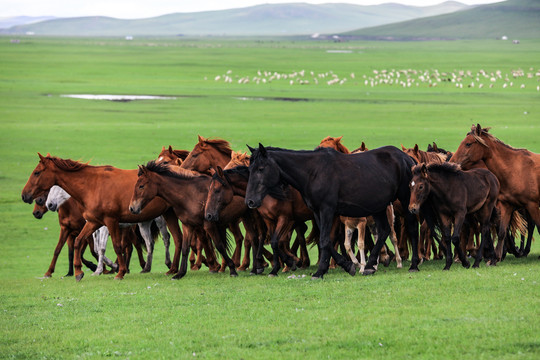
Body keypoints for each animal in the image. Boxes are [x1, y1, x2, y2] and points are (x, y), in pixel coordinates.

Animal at [21, 153, 184, 280]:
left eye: (37, 172)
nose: (24, 195)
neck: (92, 185)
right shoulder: (93, 222)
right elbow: (78, 243)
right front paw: (79, 272)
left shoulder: (110, 222)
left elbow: (116, 246)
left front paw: (119, 271)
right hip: (161, 216)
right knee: (174, 238)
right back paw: (170, 269)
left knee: (169, 239)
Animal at [246, 143, 422, 278]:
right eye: (250, 169)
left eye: (261, 168)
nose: (250, 201)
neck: (313, 172)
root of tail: (407, 158)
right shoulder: (317, 212)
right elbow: (327, 241)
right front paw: (347, 266)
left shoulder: (327, 210)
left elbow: (325, 240)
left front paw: (319, 272)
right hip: (378, 206)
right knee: (384, 231)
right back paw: (370, 266)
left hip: (406, 200)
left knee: (412, 228)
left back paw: (413, 264)